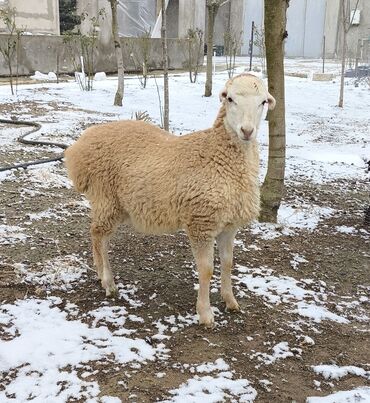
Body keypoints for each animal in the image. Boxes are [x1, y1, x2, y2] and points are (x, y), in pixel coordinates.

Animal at [65, 74, 276, 328]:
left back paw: (100, 273)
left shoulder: (229, 225)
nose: (247, 131)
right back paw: (108, 282)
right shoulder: (201, 222)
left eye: (263, 102)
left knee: (98, 236)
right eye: (230, 99)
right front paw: (205, 313)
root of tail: (79, 147)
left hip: (116, 204)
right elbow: (206, 269)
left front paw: (230, 301)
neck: (218, 155)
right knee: (98, 235)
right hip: (106, 198)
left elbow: (228, 262)